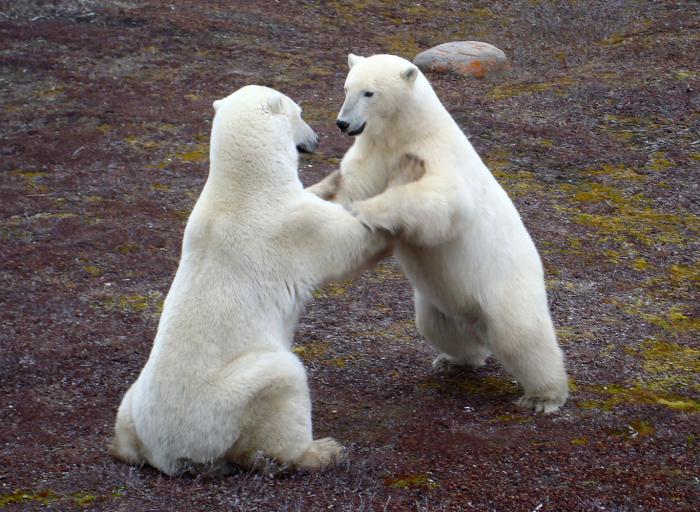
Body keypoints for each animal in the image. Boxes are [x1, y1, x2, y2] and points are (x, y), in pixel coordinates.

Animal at [111, 85, 392, 476]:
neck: (243, 186)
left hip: (134, 402)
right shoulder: (286, 226)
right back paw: (322, 451)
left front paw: (334, 181)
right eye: (299, 113)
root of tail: (165, 454)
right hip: (229, 399)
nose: (317, 138)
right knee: (282, 384)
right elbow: (346, 240)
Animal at [310, 53, 568, 412]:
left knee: (522, 336)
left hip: (505, 288)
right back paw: (455, 359)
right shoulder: (375, 149)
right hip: (440, 303)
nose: (343, 123)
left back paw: (543, 396)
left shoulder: (434, 152)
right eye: (347, 87)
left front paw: (365, 210)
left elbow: (444, 200)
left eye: (369, 93)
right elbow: (355, 183)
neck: (406, 129)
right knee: (439, 328)